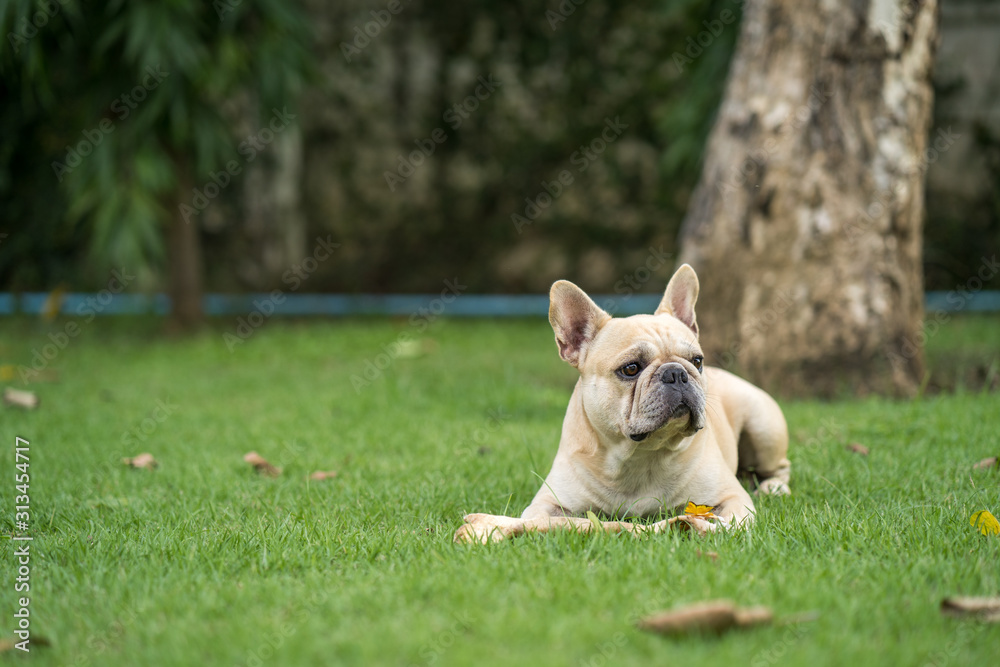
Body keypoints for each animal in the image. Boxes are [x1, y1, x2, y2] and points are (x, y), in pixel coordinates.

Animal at [454, 264, 788, 544]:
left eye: (697, 361)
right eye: (630, 369)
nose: (677, 372)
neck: (641, 455)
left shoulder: (731, 497)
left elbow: (729, 519)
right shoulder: (546, 504)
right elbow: (547, 521)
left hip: (763, 427)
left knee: (778, 467)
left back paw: (774, 488)